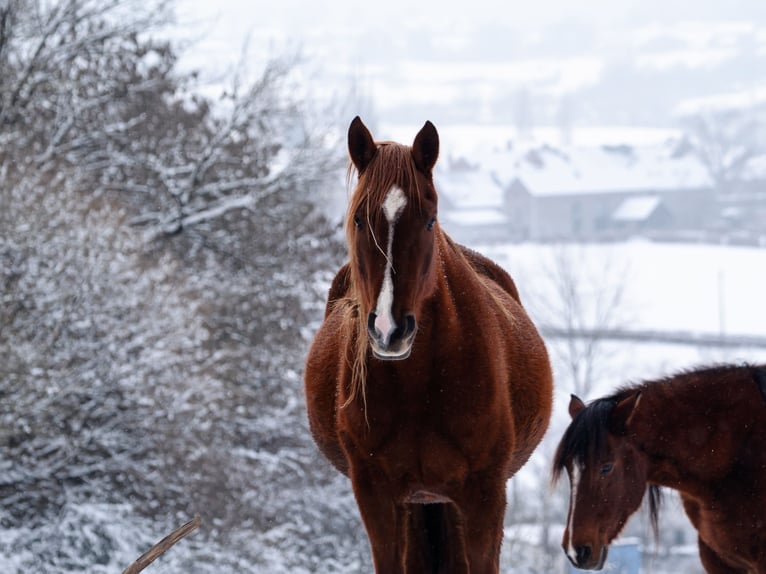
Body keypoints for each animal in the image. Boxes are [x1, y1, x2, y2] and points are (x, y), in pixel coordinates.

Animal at [304, 117, 553, 573]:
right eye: (360, 220)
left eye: (429, 220)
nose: (389, 330)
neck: (420, 386)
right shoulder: (377, 498)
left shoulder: (484, 496)